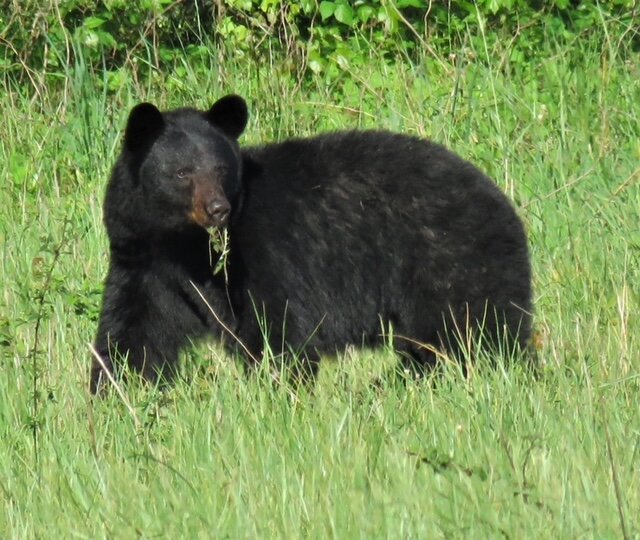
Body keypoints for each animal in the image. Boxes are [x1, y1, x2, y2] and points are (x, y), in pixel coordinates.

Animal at [89, 94, 528, 392]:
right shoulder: (143, 262)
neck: (187, 245)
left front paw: (280, 390)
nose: (218, 209)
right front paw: (116, 394)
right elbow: (133, 333)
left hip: (452, 259)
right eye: (182, 172)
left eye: (220, 167)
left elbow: (279, 327)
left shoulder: (269, 251)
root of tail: (499, 197)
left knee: (479, 329)